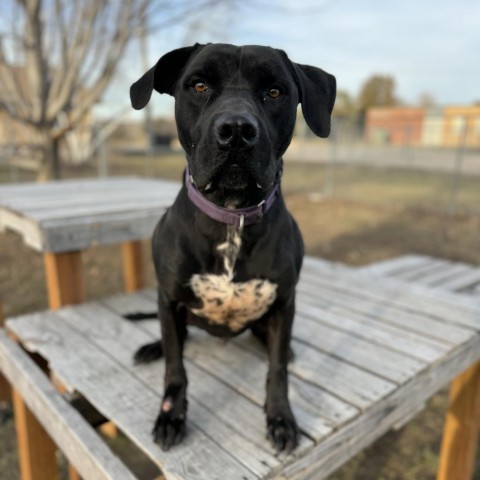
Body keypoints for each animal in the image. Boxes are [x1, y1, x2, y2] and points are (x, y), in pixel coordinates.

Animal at [129, 43, 336, 452]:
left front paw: (281, 418)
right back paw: (152, 347)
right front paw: (171, 416)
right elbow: (175, 368)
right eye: (199, 85)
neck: (232, 216)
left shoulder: (284, 303)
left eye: (274, 91)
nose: (237, 130)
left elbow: (278, 369)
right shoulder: (170, 299)